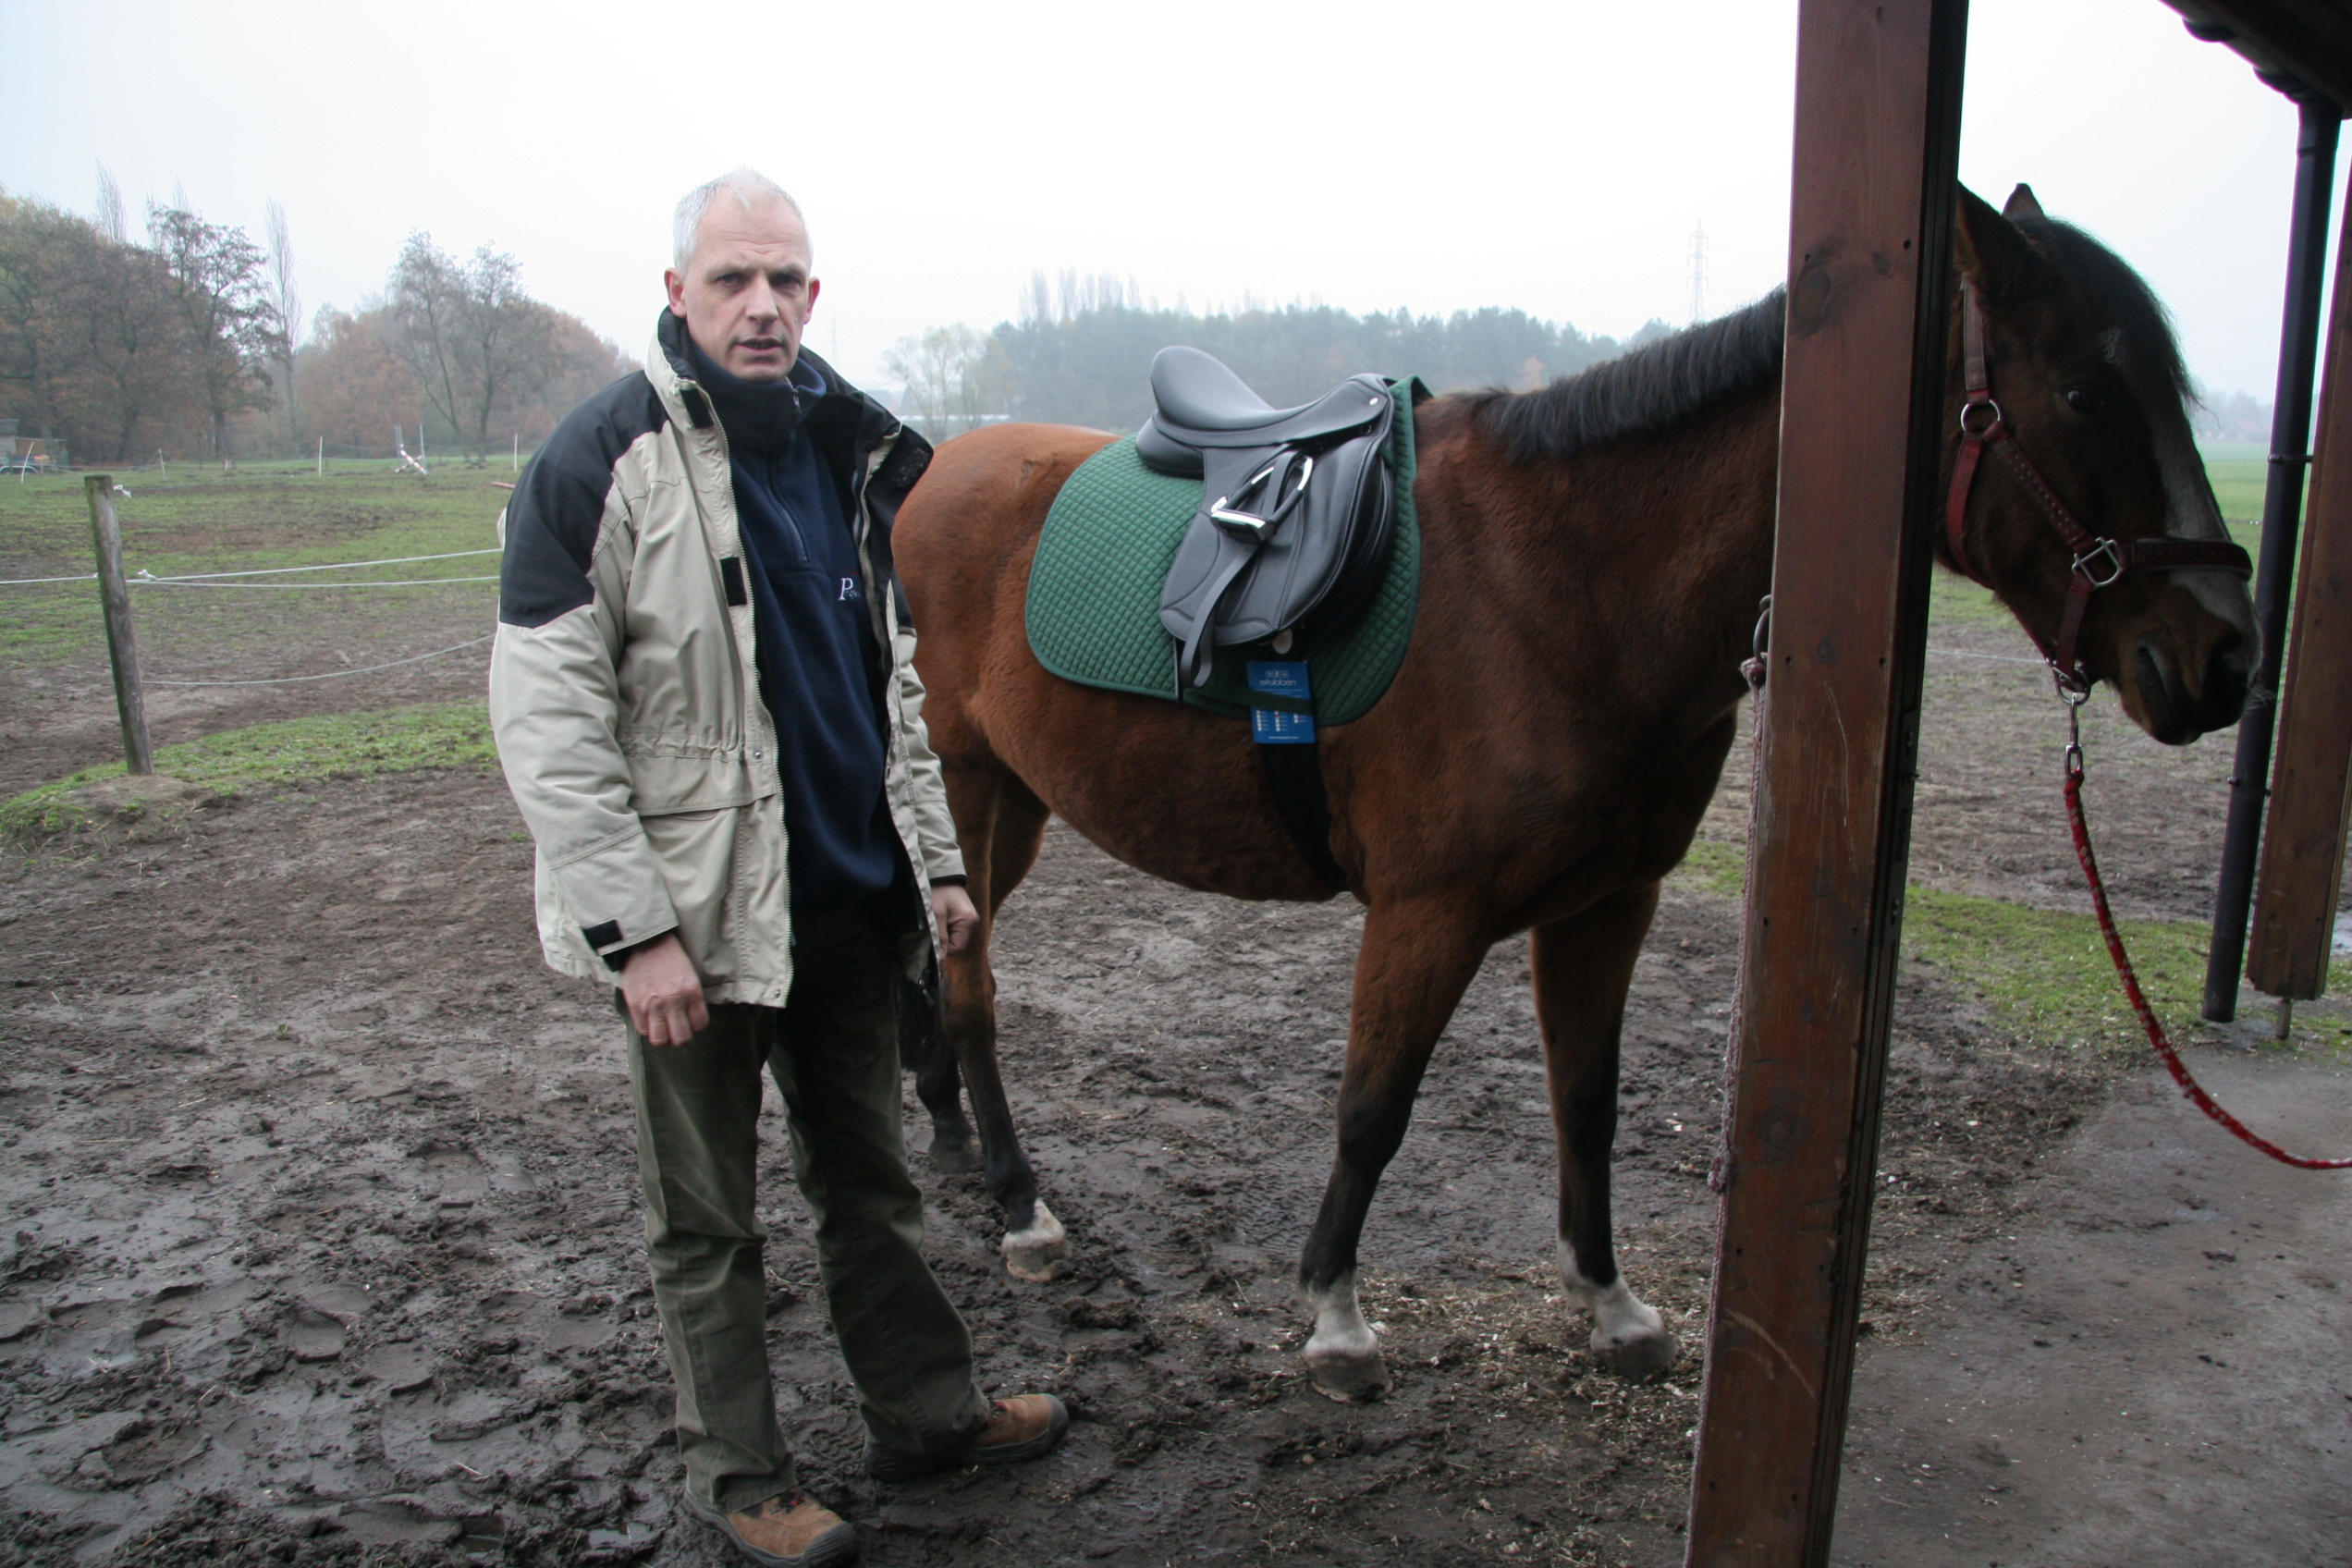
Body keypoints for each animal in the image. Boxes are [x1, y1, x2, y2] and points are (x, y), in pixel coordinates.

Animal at [884, 190, 2258, 1401]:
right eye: (2082, 390)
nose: (2226, 657)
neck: (1565, 579)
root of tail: (929, 472)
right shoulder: (1427, 913)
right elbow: (1373, 1110)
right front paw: (1336, 1319)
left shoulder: (1608, 903)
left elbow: (1587, 1104)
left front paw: (1612, 1304)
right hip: (968, 788)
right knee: (974, 991)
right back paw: (1020, 1202)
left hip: (1012, 805)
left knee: (940, 965)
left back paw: (951, 1132)